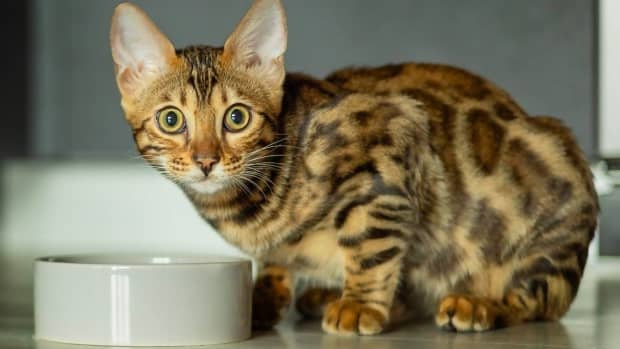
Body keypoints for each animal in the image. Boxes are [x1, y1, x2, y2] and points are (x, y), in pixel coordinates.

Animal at [110, 0, 596, 338]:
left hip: (555, 219)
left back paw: (478, 305)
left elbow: (371, 243)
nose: (206, 160)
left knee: (536, 301)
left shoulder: (391, 147)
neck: (248, 206)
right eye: (170, 120)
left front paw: (361, 304)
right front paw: (263, 295)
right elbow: (275, 258)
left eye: (237, 117)